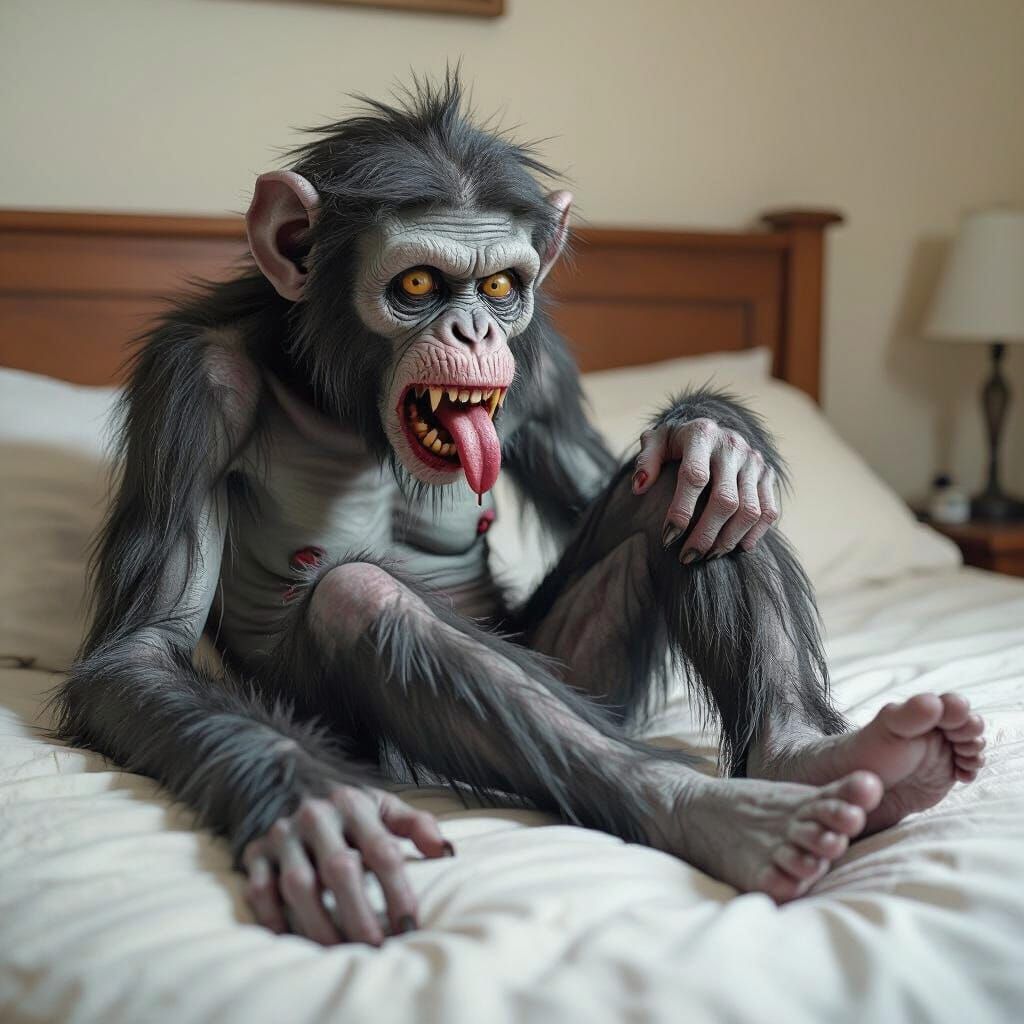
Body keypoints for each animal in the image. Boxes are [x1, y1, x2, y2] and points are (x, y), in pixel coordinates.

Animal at [54, 75, 987, 947]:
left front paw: (718, 433)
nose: (475, 333)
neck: (334, 391)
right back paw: (724, 815)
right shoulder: (192, 389)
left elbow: (618, 479)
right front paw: (311, 808)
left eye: (500, 285)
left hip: (588, 672)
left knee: (692, 507)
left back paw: (818, 752)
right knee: (365, 601)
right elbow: (142, 649)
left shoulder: (539, 367)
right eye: (419, 282)